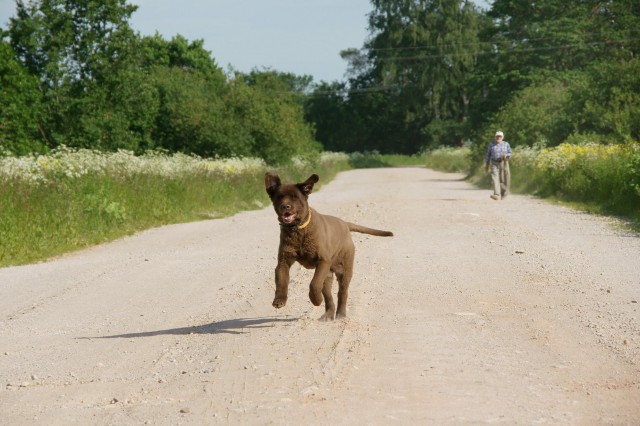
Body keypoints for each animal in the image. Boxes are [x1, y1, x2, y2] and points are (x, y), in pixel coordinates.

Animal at [264, 171, 392, 322]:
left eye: (295, 198)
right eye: (279, 197)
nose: (285, 206)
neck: (298, 230)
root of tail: (345, 224)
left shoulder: (323, 260)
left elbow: (314, 284)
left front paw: (315, 300)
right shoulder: (283, 261)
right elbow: (282, 282)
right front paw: (279, 300)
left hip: (344, 269)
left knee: (342, 292)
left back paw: (340, 314)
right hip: (327, 274)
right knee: (328, 295)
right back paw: (328, 315)